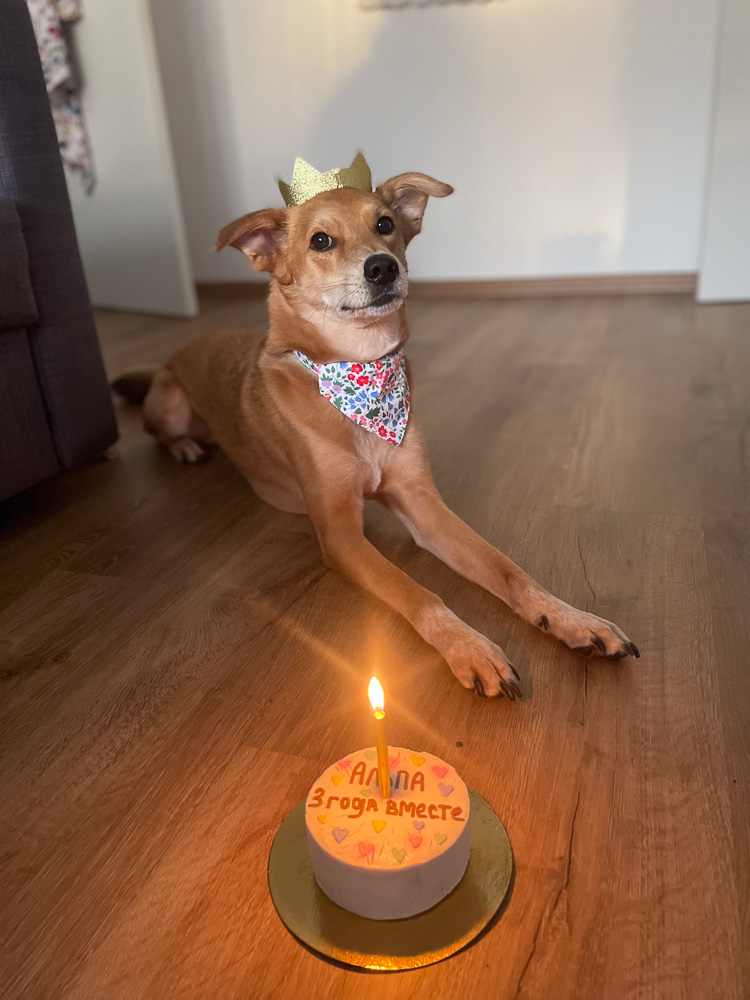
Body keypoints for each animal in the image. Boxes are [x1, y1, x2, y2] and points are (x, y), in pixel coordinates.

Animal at [114, 156, 639, 699]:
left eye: (385, 224)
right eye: (321, 240)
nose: (383, 267)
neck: (361, 376)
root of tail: (174, 356)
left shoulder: (424, 506)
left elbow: (507, 569)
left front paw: (570, 618)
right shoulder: (340, 535)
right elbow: (417, 592)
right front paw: (470, 648)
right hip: (172, 404)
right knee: (162, 431)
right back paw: (184, 446)